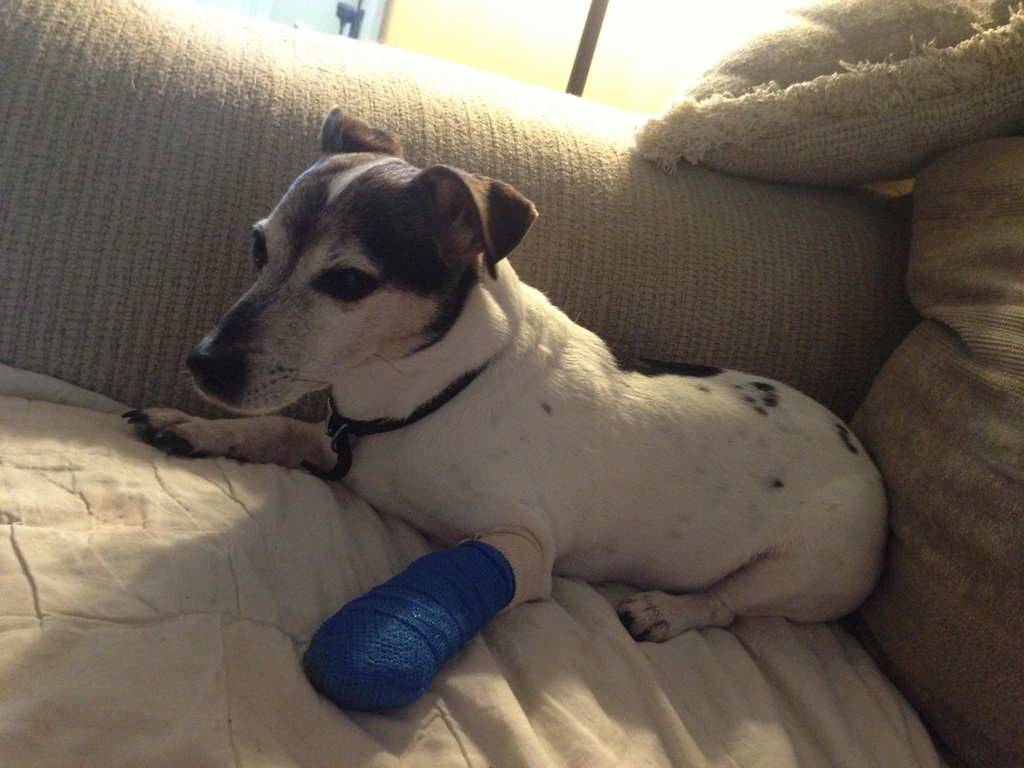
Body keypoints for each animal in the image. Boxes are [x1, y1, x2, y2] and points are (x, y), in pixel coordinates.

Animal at [127, 108, 887, 642]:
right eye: (260, 250)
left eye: (347, 282)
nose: (202, 364)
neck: (427, 393)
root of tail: (862, 453)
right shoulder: (335, 440)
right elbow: (278, 431)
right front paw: (192, 427)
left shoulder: (522, 545)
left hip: (802, 566)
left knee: (728, 603)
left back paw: (669, 611)